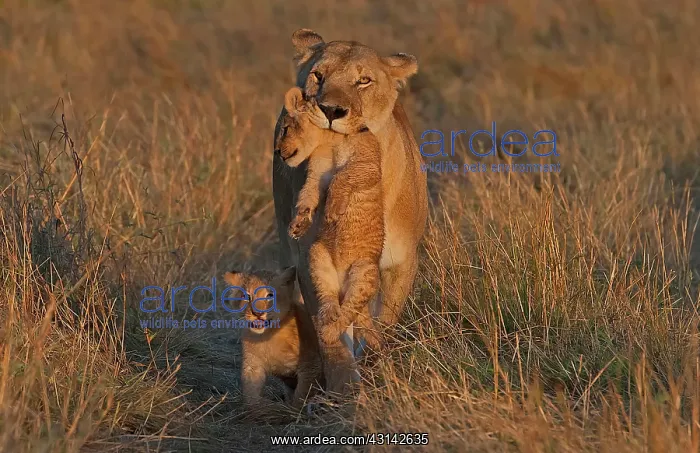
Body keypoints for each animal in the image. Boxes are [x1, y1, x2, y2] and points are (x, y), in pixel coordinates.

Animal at [222, 266, 323, 409]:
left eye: (270, 295)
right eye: (247, 296)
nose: (258, 313)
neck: (267, 336)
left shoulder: (311, 364)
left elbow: (302, 394)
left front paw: (294, 411)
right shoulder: (253, 364)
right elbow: (250, 392)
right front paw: (253, 410)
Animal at [271, 29, 428, 392]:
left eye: (364, 80)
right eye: (318, 75)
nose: (331, 110)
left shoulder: (402, 261)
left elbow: (384, 324)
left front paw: (374, 364)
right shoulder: (309, 262)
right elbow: (332, 332)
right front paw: (344, 386)